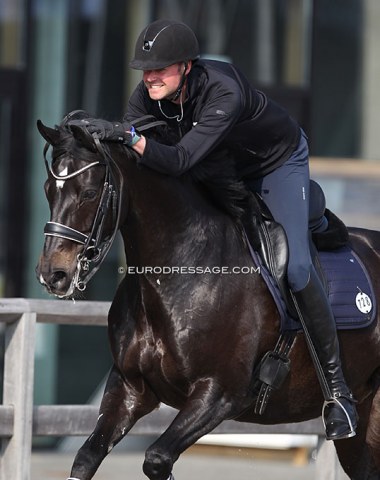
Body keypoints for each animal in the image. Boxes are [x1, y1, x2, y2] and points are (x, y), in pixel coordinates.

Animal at [35, 117, 380, 480]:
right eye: (48, 190)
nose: (53, 275)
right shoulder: (129, 387)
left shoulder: (219, 394)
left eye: (89, 193)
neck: (183, 265)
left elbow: (156, 457)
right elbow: (87, 457)